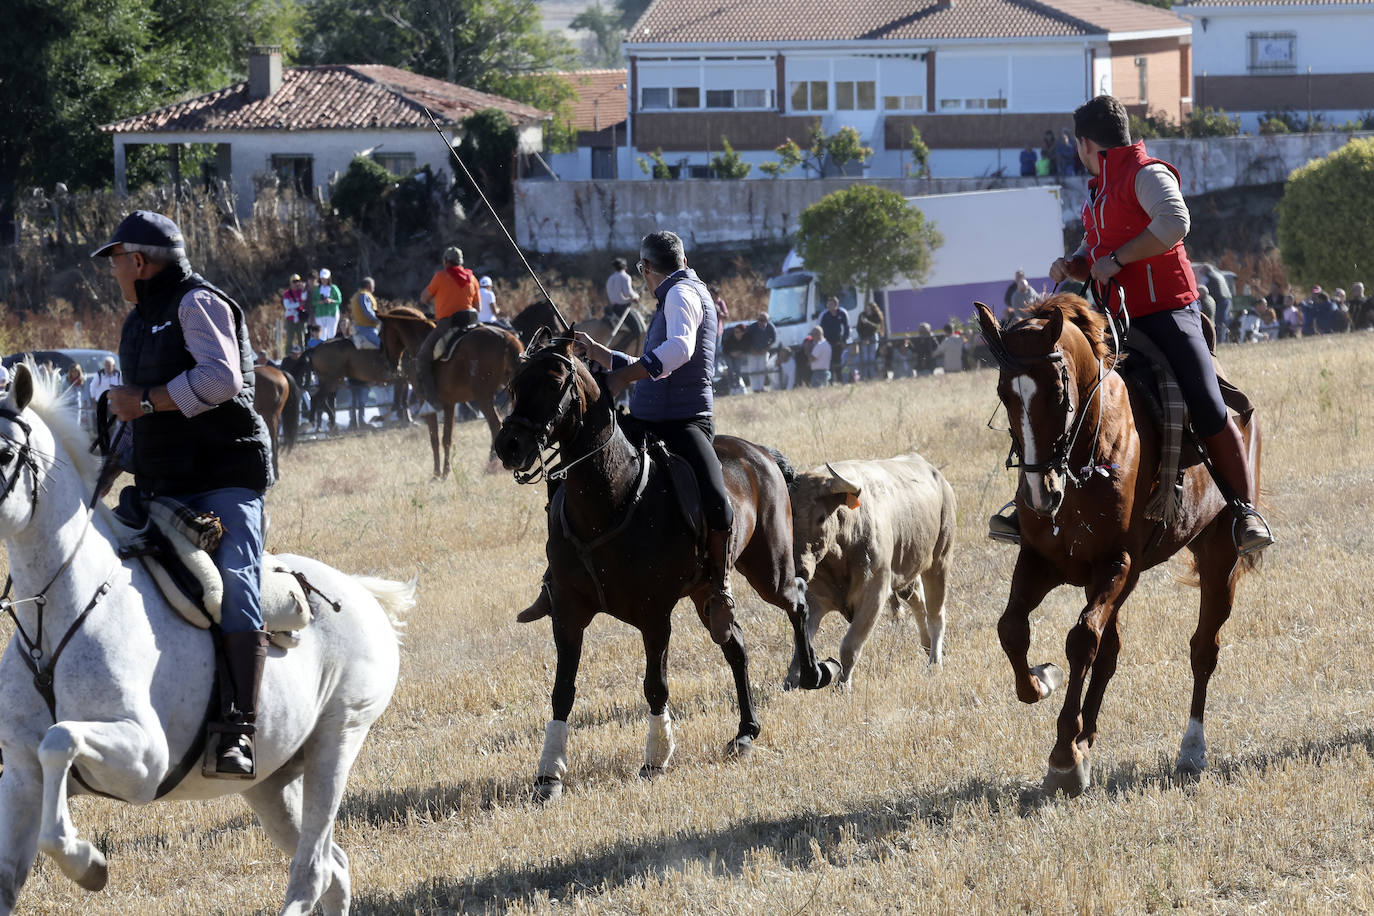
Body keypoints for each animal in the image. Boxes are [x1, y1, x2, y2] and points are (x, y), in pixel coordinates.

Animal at [0, 362, 406, 911]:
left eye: (4, 454)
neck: (56, 617)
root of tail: (361, 593)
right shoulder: (21, 778)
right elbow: (8, 872)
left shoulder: (143, 761)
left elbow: (60, 739)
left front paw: (87, 863)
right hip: (270, 782)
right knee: (335, 867)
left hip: (337, 743)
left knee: (314, 869)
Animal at [491, 333, 835, 796]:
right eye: (515, 383)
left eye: (553, 382)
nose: (509, 445)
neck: (612, 498)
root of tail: (760, 453)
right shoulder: (567, 611)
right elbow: (562, 690)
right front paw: (549, 773)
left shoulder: (655, 616)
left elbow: (655, 686)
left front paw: (655, 758)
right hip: (707, 593)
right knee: (736, 645)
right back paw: (746, 732)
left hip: (768, 570)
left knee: (796, 600)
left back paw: (814, 672)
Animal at [972, 295, 1258, 796]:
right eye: (1005, 393)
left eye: (1058, 391)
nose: (1040, 493)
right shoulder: (1042, 560)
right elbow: (1012, 629)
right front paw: (1042, 683)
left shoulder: (1117, 562)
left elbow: (1082, 639)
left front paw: (1064, 757)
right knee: (1111, 651)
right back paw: (1087, 735)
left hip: (1215, 557)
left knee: (1203, 649)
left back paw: (1191, 750)